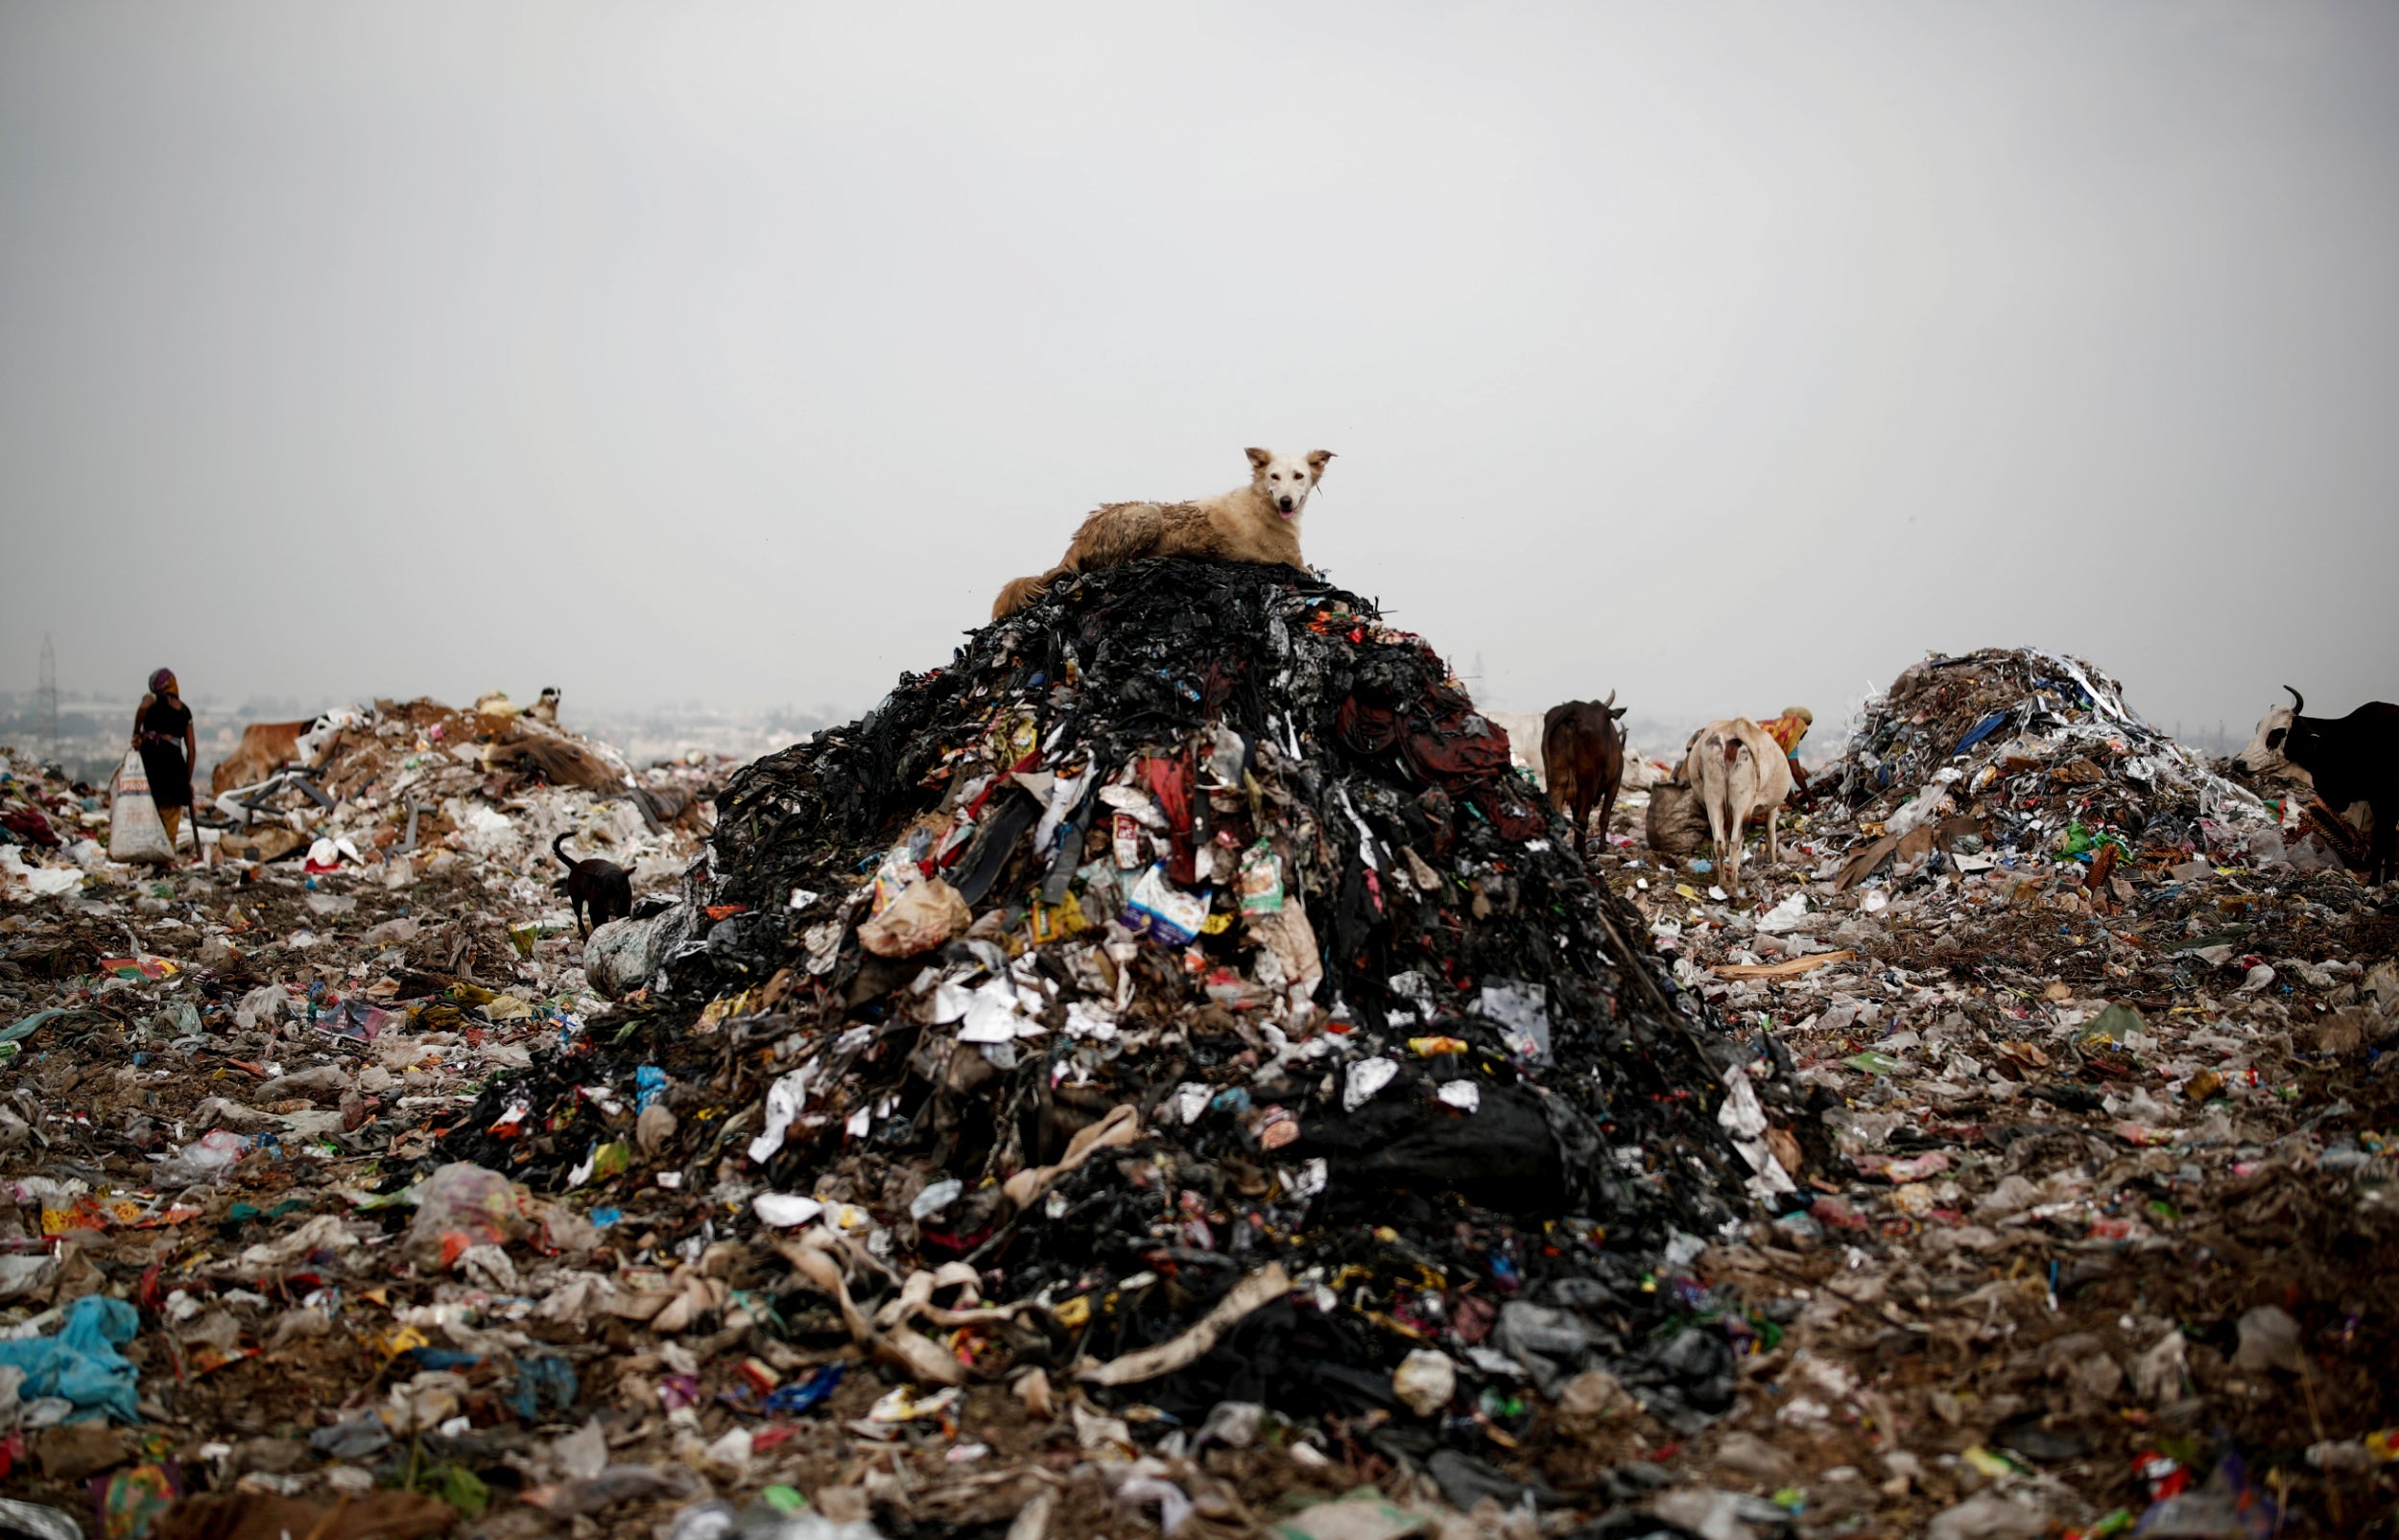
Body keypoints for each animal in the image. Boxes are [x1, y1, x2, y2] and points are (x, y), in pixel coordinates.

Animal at [988, 443, 1334, 619]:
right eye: (1274, 476)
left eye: (1299, 475)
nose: (1286, 501)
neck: (1262, 500)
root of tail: (1076, 541)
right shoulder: (1295, 564)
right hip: (1149, 513)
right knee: (1118, 562)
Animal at [1535, 691, 1631, 854]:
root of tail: (1572, 708)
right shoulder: (1615, 783)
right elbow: (1604, 817)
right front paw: (1601, 848)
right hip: (1589, 781)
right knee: (1582, 820)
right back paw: (1583, 855)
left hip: (1556, 780)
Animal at [1679, 715, 1794, 892]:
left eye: (1688, 749)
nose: (1678, 778)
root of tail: (1736, 727)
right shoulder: (1772, 808)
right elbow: (1771, 834)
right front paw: (1774, 863)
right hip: (1743, 800)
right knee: (1736, 841)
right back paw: (1734, 886)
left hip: (1714, 796)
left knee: (1720, 841)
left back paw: (1722, 882)